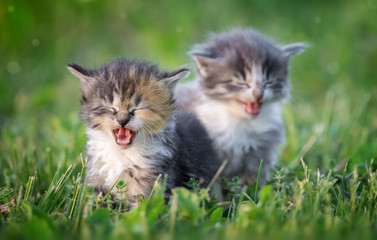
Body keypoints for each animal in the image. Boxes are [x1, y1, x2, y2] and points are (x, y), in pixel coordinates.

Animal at [67, 58, 217, 208]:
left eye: (137, 109)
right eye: (111, 108)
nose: (122, 120)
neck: (123, 154)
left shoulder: (154, 182)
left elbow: (142, 209)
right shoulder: (97, 177)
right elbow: (92, 206)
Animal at [175, 28, 306, 185]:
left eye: (269, 82)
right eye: (241, 83)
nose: (258, 94)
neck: (241, 122)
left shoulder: (261, 151)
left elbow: (255, 178)